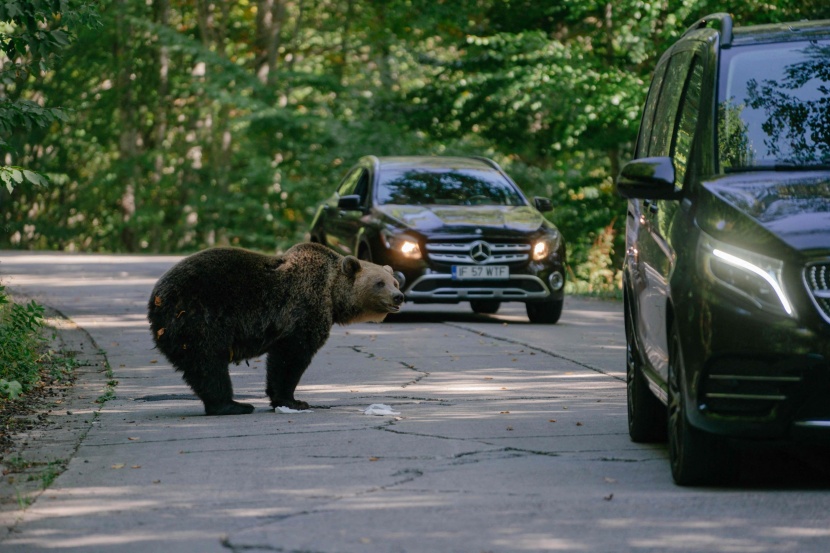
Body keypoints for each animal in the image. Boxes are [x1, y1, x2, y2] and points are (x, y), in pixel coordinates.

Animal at [151, 242, 408, 414]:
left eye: (395, 281)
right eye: (379, 283)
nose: (399, 296)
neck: (332, 295)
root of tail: (156, 298)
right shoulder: (302, 309)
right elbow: (291, 356)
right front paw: (293, 400)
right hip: (199, 316)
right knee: (209, 362)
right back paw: (234, 404)